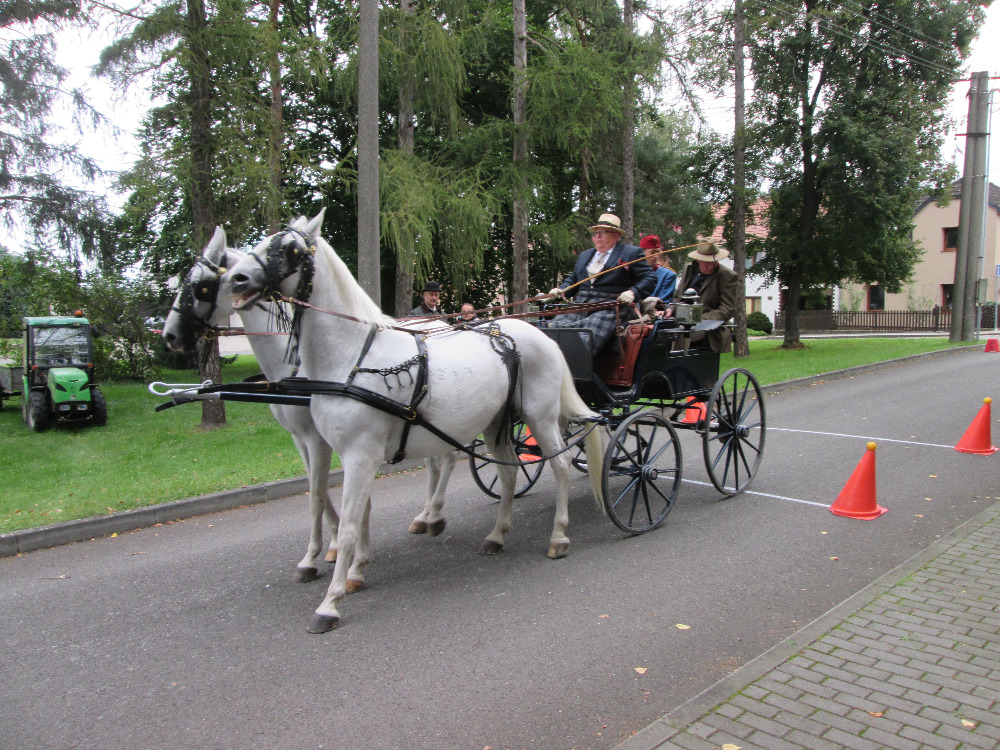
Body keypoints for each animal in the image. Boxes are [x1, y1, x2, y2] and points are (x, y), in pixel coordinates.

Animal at [223, 210, 606, 632]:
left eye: (288, 248)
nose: (235, 278)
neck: (351, 358)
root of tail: (539, 333)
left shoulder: (359, 455)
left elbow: (351, 523)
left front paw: (330, 602)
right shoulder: (343, 452)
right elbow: (342, 506)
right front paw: (353, 572)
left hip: (540, 417)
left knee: (561, 465)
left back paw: (558, 536)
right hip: (496, 424)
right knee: (508, 474)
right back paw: (497, 535)